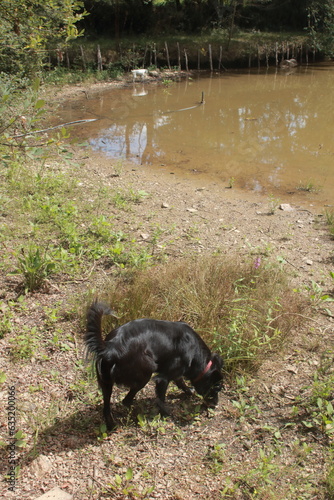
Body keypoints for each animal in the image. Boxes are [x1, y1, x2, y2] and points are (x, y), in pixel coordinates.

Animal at [85, 300, 223, 430]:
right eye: (217, 388)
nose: (215, 404)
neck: (195, 353)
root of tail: (111, 348)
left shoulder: (176, 373)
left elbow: (181, 382)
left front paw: (189, 391)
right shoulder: (163, 378)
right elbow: (161, 399)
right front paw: (166, 414)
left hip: (106, 382)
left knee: (107, 408)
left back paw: (112, 425)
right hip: (145, 373)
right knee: (126, 401)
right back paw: (138, 413)